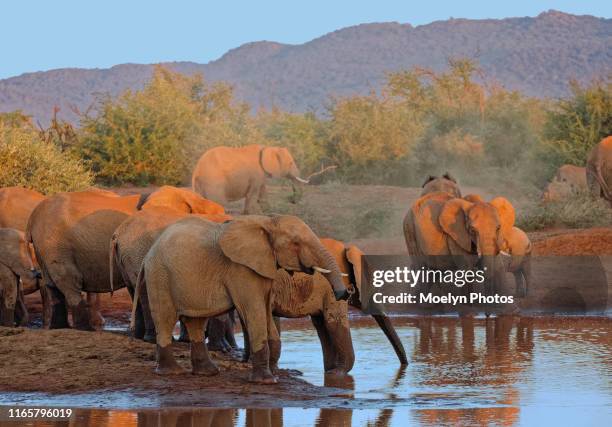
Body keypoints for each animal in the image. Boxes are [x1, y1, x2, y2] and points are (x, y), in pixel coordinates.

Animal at [134, 216, 350, 386]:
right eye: (296, 243)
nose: (344, 294)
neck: (267, 221)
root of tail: (148, 254)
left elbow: (265, 311)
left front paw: (270, 376)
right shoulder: (240, 270)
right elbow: (254, 311)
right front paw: (267, 382)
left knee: (195, 322)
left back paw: (208, 373)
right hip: (159, 276)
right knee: (165, 318)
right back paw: (172, 372)